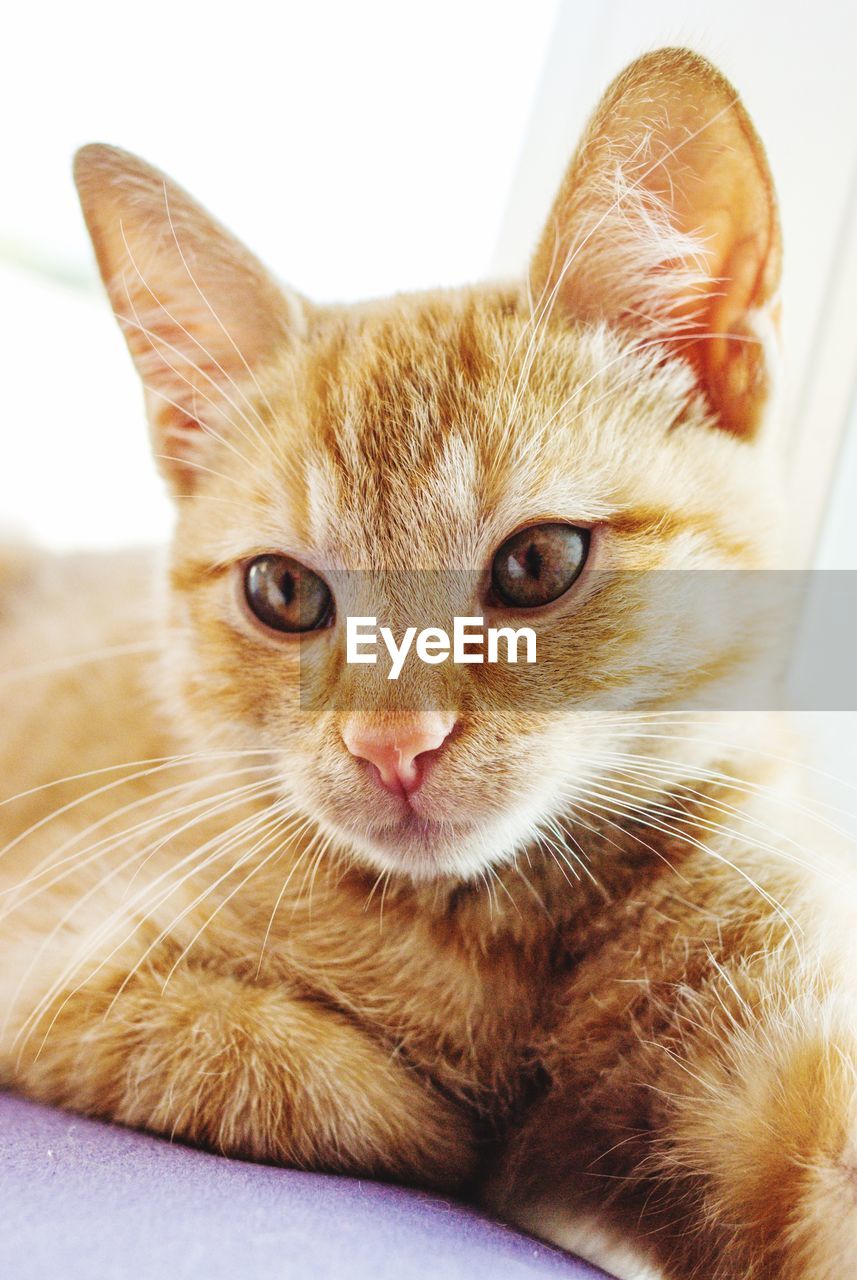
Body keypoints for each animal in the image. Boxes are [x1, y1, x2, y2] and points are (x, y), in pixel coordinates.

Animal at [1, 49, 857, 1280]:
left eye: (537, 562)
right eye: (283, 591)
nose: (392, 743)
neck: (511, 925)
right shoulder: (61, 965)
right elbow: (325, 1085)